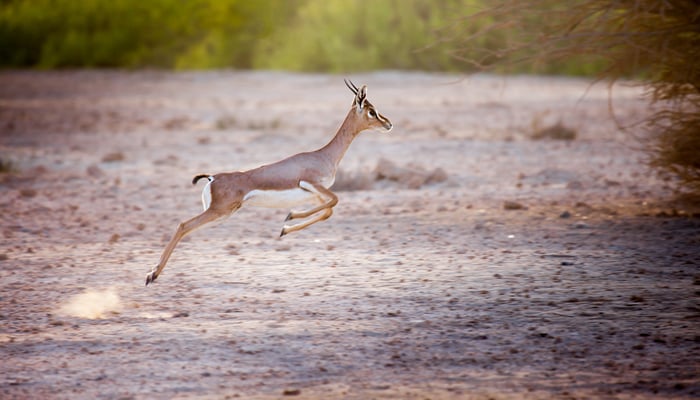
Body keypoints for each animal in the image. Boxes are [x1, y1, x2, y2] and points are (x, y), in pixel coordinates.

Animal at [145, 80, 393, 285]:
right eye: (372, 111)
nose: (389, 124)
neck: (324, 156)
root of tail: (213, 177)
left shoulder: (315, 193)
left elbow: (328, 211)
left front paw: (285, 227)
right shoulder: (312, 184)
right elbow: (335, 201)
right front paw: (288, 219)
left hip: (223, 215)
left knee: (186, 228)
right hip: (219, 211)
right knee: (183, 225)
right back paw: (152, 275)